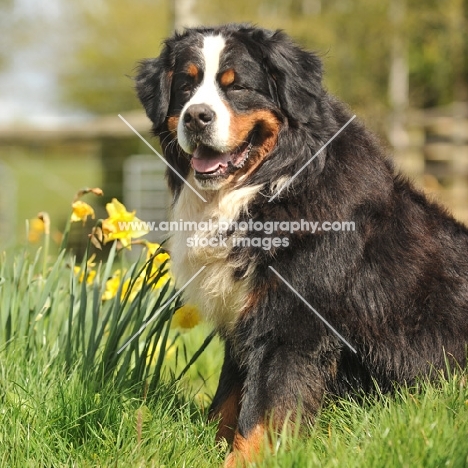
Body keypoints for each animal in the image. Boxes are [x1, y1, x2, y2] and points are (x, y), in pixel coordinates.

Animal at [135, 23, 468, 466]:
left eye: (237, 86)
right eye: (186, 86)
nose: (196, 117)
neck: (265, 189)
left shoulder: (290, 323)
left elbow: (262, 411)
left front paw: (244, 459)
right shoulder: (243, 318)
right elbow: (227, 400)